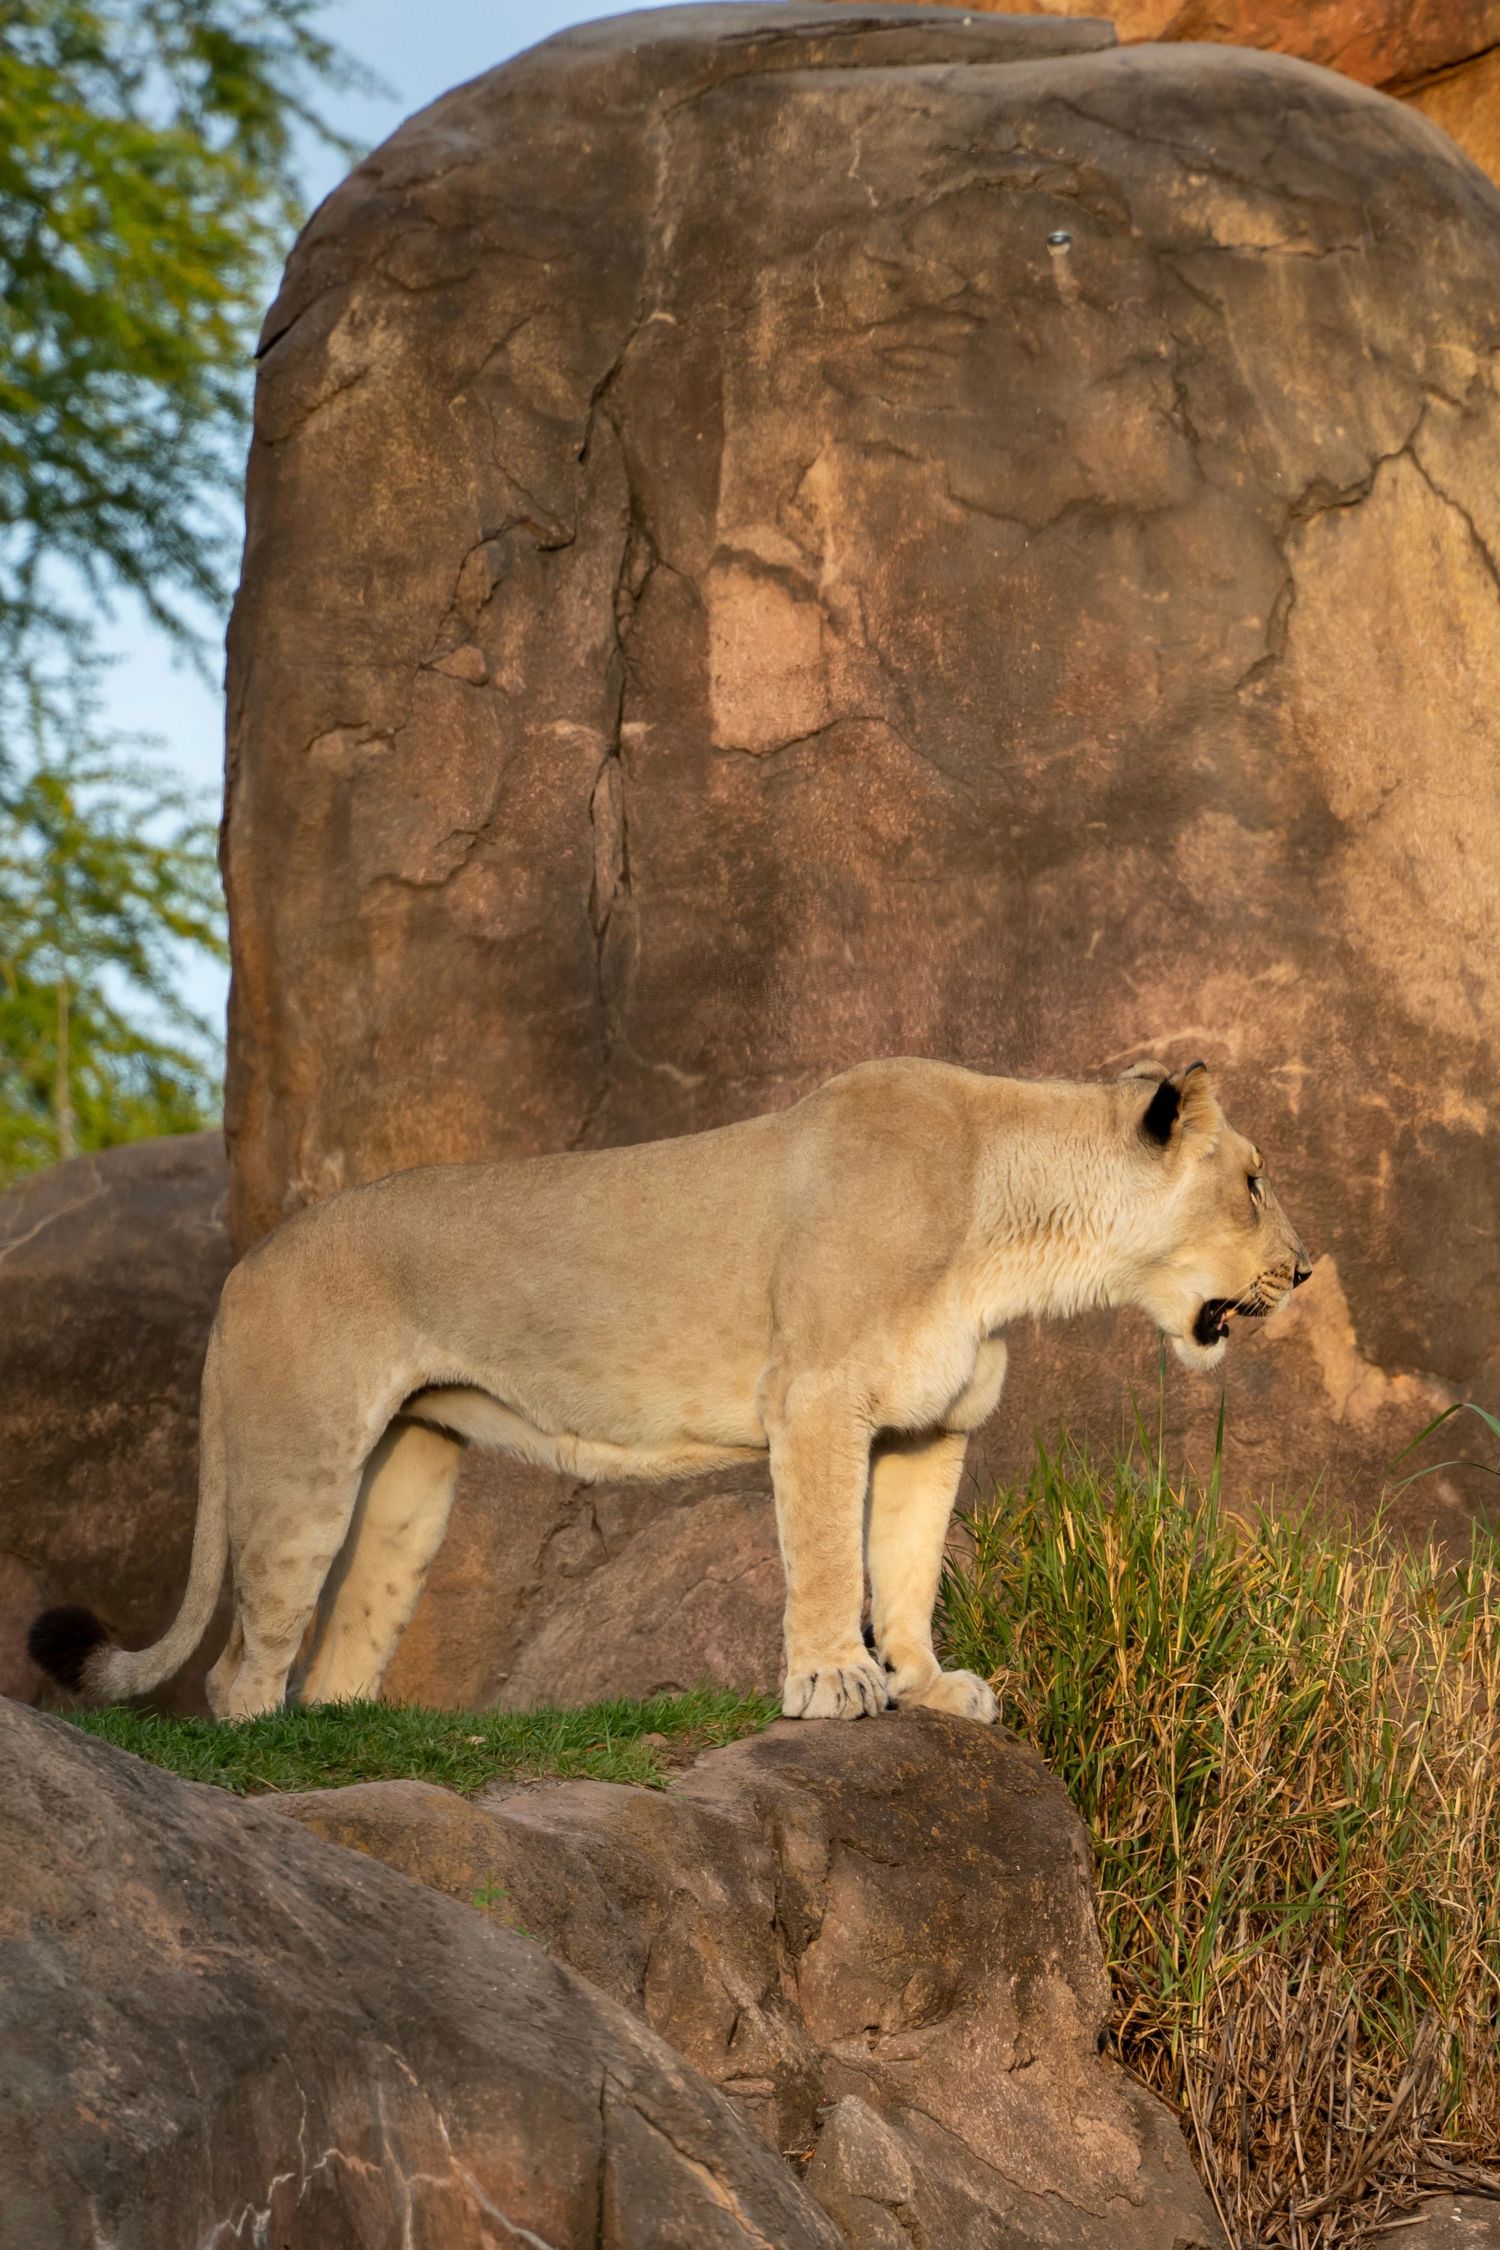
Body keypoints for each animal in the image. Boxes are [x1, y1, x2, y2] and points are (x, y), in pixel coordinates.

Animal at [30, 1057, 1309, 1724]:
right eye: (1252, 1181)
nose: (1304, 1270)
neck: (1017, 1236)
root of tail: (244, 1266)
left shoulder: (929, 1431)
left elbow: (902, 1569)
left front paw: (928, 1686)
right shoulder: (817, 1397)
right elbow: (828, 1557)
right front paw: (834, 1684)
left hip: (409, 1478)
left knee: (342, 1655)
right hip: (302, 1467)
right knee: (243, 1667)